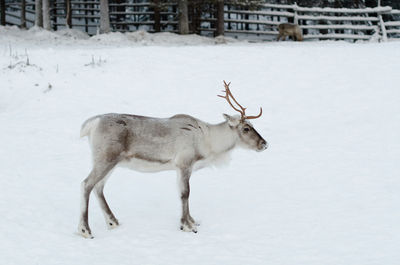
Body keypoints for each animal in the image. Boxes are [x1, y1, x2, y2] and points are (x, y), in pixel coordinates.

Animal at [77, 80, 268, 237]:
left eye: (253, 125)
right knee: (86, 184)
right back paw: (85, 230)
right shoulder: (184, 164)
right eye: (246, 128)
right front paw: (187, 226)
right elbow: (185, 193)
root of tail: (92, 124)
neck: (208, 142)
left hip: (111, 162)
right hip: (106, 158)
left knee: (99, 187)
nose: (264, 144)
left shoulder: (180, 168)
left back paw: (113, 222)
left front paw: (192, 221)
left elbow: (182, 194)